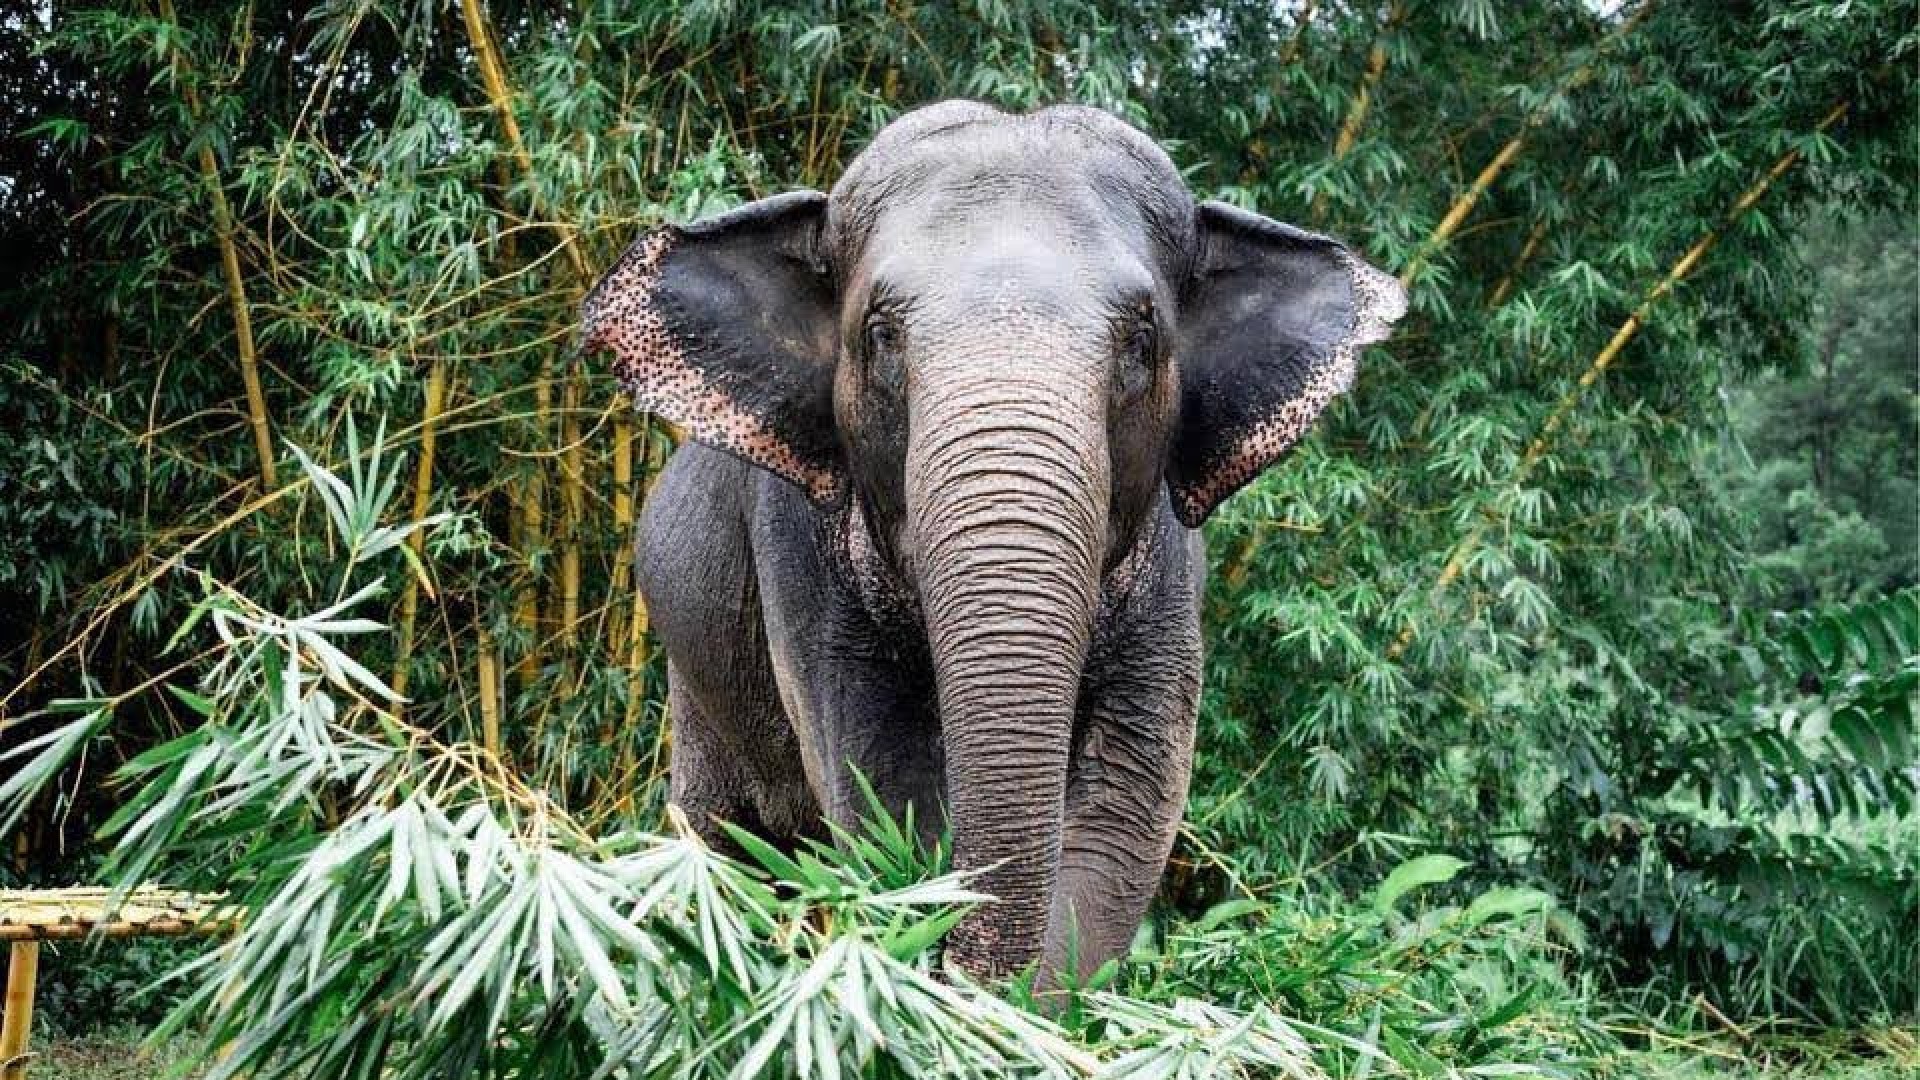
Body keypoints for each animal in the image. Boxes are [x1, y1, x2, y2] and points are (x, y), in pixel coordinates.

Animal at [579, 100, 1405, 982]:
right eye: (881, 335)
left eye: (1142, 340)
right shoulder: (797, 552)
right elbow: (881, 781)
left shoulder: (1168, 579)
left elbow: (1127, 802)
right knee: (725, 844)